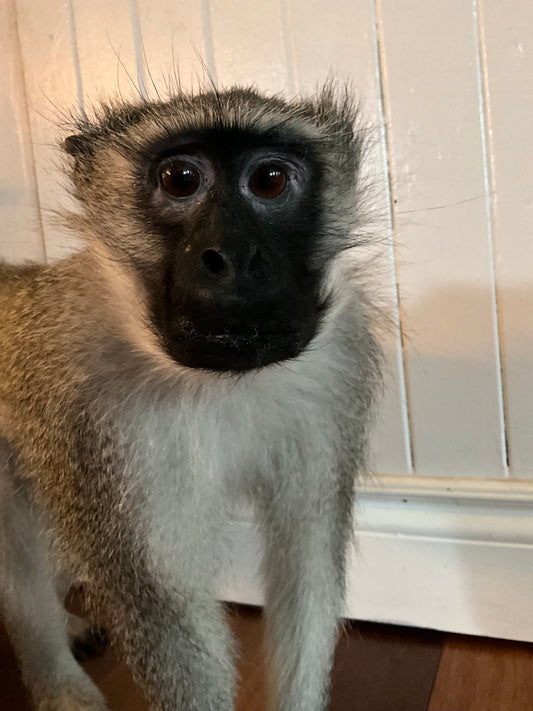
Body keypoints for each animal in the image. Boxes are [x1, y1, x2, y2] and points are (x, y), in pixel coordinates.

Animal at [0, 85, 382, 711]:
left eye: (270, 180)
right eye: (180, 179)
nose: (232, 256)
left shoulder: (336, 372)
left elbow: (307, 565)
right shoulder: (97, 426)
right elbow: (163, 609)